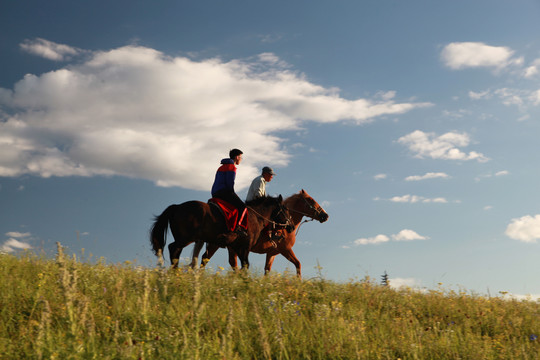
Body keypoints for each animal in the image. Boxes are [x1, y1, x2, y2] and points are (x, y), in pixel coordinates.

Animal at [150, 195, 292, 268]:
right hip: (185, 238)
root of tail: (177, 206)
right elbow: (245, 265)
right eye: (285, 209)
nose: (290, 226)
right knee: (173, 248)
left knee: (177, 252)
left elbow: (240, 265)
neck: (256, 216)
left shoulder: (237, 247)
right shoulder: (244, 247)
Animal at [202, 190, 330, 278]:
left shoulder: (272, 253)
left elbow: (267, 270)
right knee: (208, 258)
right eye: (311, 200)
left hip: (229, 247)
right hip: (219, 244)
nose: (325, 215)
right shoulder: (286, 249)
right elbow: (298, 264)